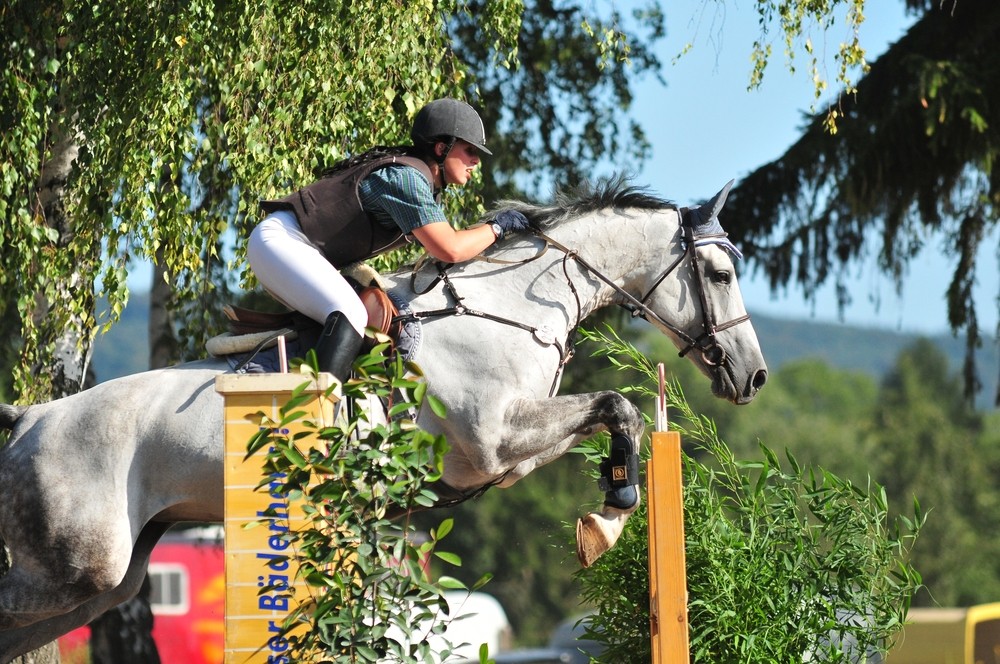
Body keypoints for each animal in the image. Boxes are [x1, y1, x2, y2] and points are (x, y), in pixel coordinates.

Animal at [0, 176, 764, 660]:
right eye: (720, 275)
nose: (751, 376)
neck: (511, 305)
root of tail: (31, 417)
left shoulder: (511, 453)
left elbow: (615, 415)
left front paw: (608, 510)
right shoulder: (494, 440)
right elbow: (616, 405)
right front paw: (613, 509)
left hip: (107, 580)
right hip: (79, 566)